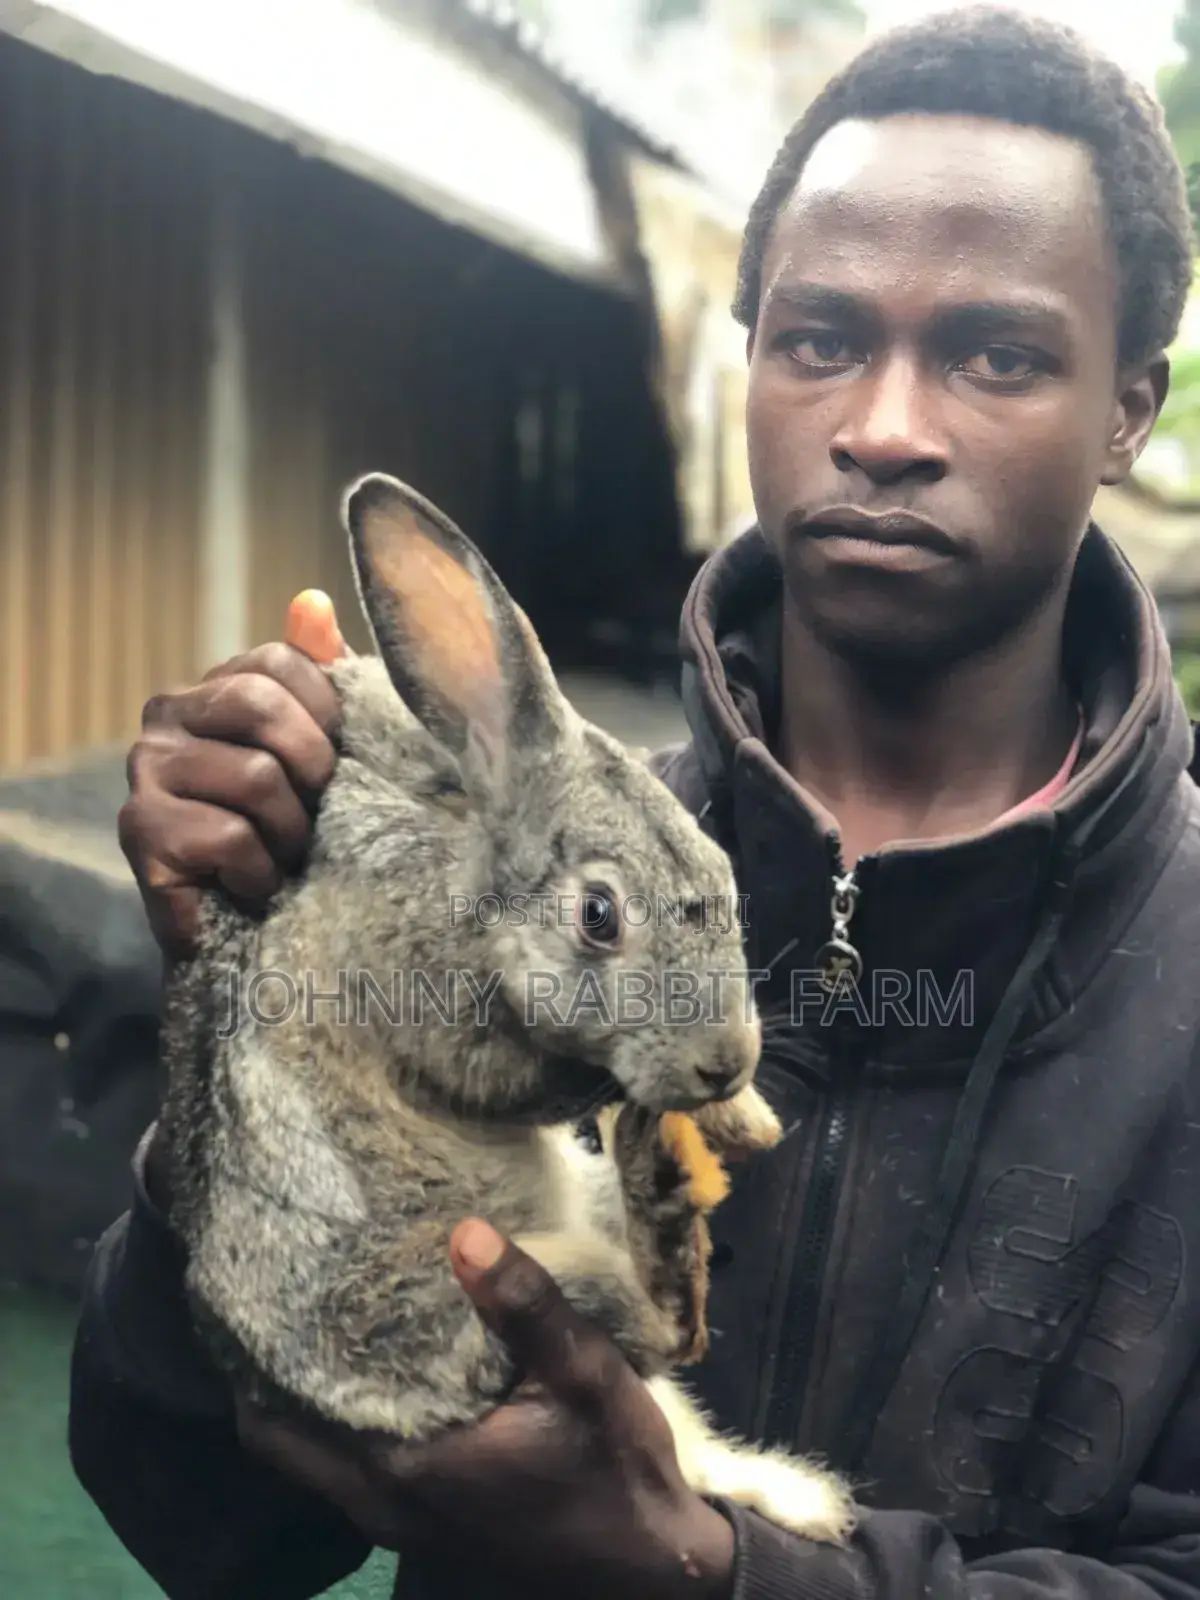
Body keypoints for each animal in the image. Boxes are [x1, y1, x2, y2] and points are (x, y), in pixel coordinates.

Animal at [155, 471, 855, 1545]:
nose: (725, 1062)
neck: (471, 864)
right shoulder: (437, 1010)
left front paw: (748, 1121)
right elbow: (534, 1080)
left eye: (725, 874)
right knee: (654, 1334)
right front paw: (728, 1118)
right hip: (491, 1293)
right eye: (599, 916)